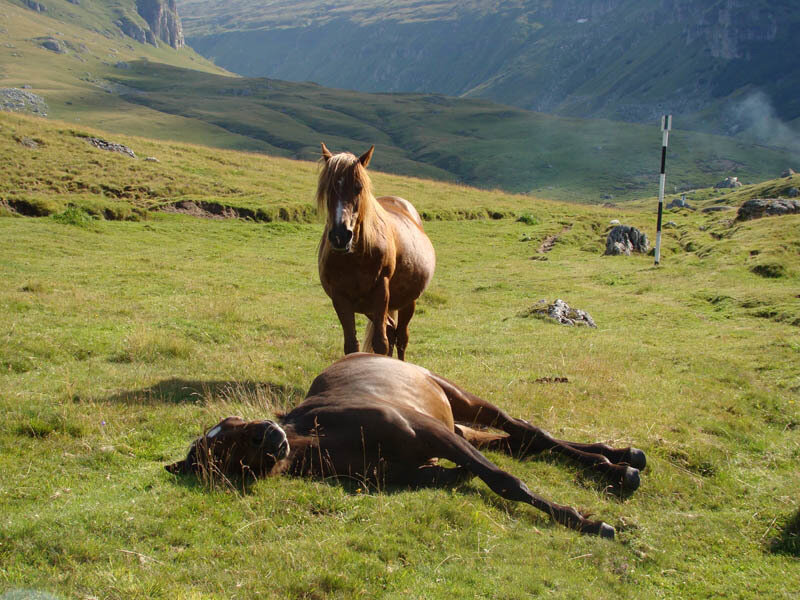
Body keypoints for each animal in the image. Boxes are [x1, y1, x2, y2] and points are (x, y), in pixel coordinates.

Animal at [166, 353, 646, 538]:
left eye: (233, 423)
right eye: (223, 454)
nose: (271, 434)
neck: (325, 438)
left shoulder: (434, 433)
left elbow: (505, 482)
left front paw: (583, 522)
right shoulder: (426, 465)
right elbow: (472, 475)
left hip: (460, 399)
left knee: (529, 433)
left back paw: (621, 463)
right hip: (463, 426)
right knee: (523, 442)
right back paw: (618, 464)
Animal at [316, 143, 435, 360]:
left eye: (358, 188)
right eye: (328, 189)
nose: (340, 235)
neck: (355, 257)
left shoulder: (381, 292)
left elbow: (381, 343)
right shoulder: (340, 298)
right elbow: (351, 345)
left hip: (407, 303)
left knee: (401, 337)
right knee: (391, 330)